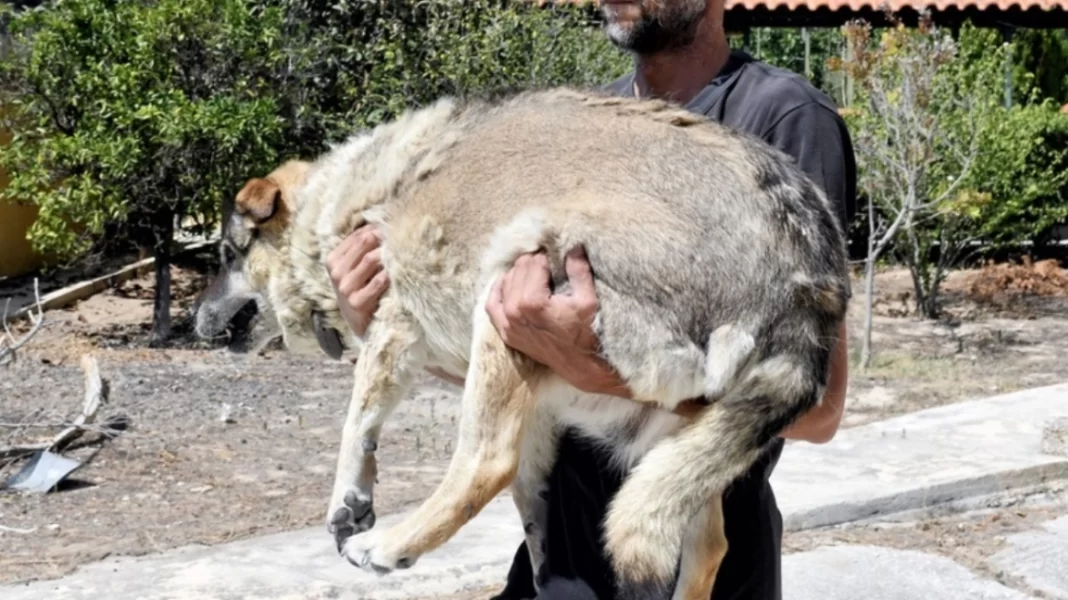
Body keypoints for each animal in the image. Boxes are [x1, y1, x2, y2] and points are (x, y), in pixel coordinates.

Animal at [194, 86, 850, 593]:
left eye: (225, 254)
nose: (194, 320)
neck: (338, 205)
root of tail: (805, 281)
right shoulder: (541, 409)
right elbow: (532, 507)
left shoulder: (393, 327)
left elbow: (357, 428)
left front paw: (347, 505)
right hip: (671, 441)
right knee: (705, 543)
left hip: (508, 284)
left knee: (485, 461)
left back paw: (388, 546)